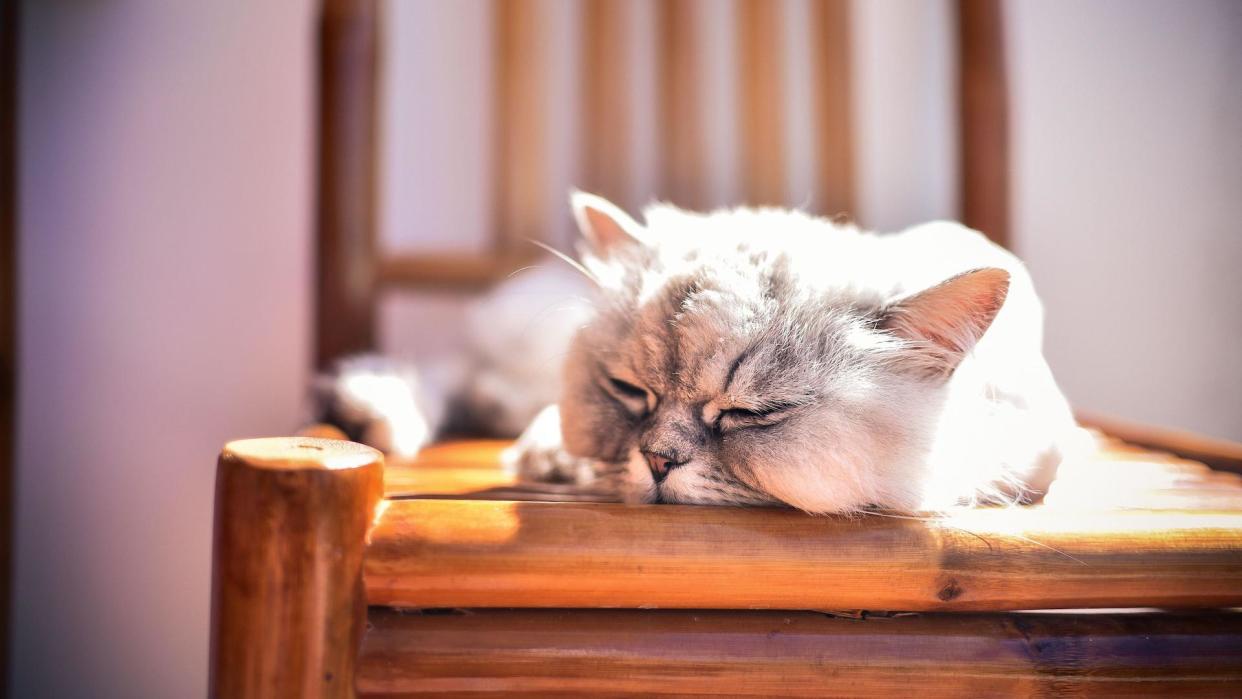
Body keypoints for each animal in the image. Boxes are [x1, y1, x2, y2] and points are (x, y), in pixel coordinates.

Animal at [322, 191, 1087, 514]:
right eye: (630, 391)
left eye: (752, 412)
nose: (658, 461)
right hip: (517, 361)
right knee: (458, 374)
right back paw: (378, 409)